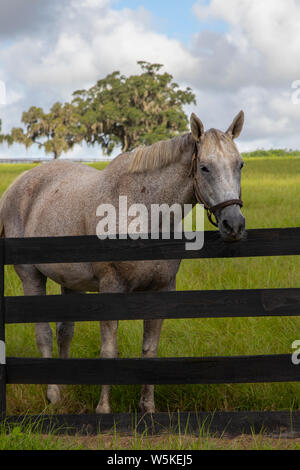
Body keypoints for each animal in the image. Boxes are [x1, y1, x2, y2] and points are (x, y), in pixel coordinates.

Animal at [0, 112, 246, 414]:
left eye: (240, 164)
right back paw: (53, 395)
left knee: (64, 333)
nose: (234, 224)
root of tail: (19, 183)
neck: (143, 210)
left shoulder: (161, 291)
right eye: (204, 168)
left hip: (70, 283)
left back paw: (65, 388)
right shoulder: (111, 289)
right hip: (31, 277)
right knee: (44, 334)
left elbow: (150, 350)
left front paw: (148, 407)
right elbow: (109, 351)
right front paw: (103, 409)